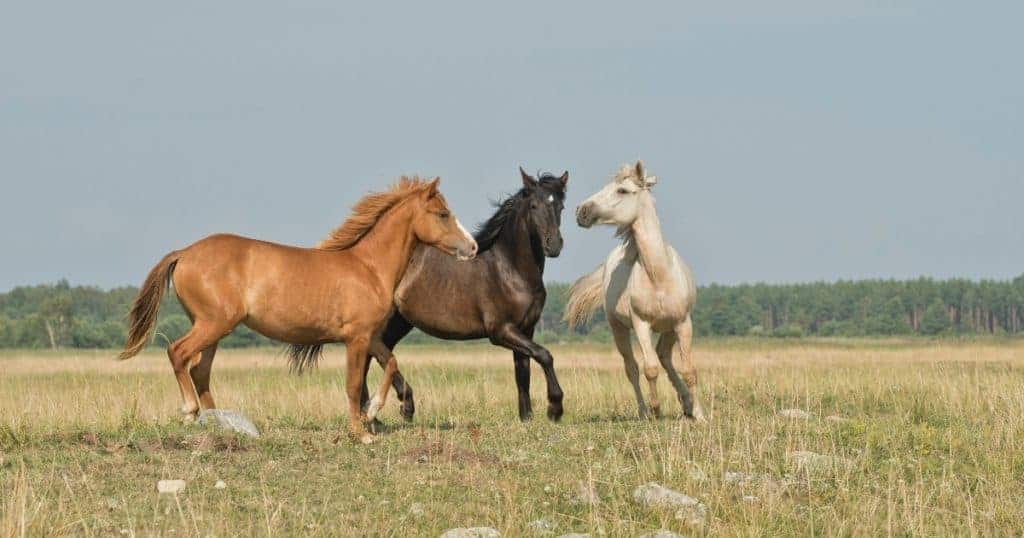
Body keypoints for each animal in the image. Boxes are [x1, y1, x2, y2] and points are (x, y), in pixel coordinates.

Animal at [118, 177, 478, 443]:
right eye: (442, 213)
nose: (472, 247)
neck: (369, 268)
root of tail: (185, 252)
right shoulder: (356, 339)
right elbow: (352, 384)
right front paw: (361, 433)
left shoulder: (370, 336)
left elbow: (391, 363)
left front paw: (373, 411)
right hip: (213, 323)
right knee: (178, 353)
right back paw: (190, 412)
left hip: (213, 329)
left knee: (200, 370)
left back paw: (219, 422)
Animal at [345, 167, 569, 422]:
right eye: (533, 205)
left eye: (560, 206)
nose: (554, 245)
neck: (509, 269)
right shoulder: (501, 330)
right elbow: (544, 355)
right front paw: (554, 408)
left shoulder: (526, 328)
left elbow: (523, 372)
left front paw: (526, 418)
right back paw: (393, 408)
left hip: (398, 323)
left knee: (373, 355)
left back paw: (376, 414)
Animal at [565, 161, 706, 422]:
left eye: (622, 190)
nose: (581, 211)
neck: (659, 276)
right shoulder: (641, 324)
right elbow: (649, 368)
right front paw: (656, 410)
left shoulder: (683, 323)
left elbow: (689, 370)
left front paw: (699, 415)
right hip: (618, 328)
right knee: (632, 368)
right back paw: (644, 411)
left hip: (669, 328)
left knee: (664, 356)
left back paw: (686, 404)